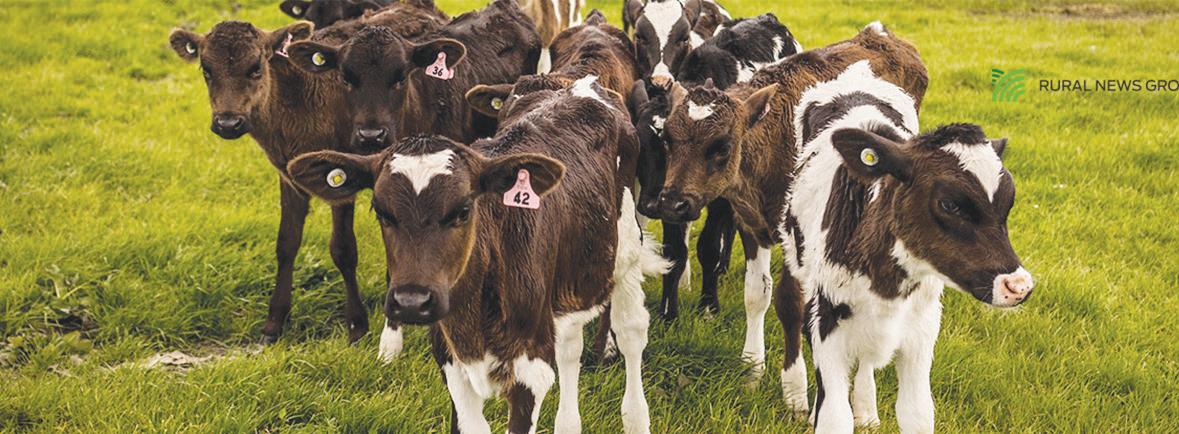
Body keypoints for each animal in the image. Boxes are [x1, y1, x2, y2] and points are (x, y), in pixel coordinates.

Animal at [167, 6, 447, 354]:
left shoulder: (340, 176)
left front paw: (357, 327)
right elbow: (286, 243)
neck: (297, 102)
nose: (228, 123)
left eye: (255, 67)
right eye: (206, 69)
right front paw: (274, 324)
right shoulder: (289, 177)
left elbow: (343, 250)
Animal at [285, 75, 666, 434]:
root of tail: (577, 82)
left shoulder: (530, 368)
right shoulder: (451, 362)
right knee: (570, 346)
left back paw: (636, 417)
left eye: (463, 209)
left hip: (626, 251)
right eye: (382, 212)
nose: (412, 302)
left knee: (631, 332)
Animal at [627, 12, 800, 324]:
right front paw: (668, 312)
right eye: (643, 146)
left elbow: (708, 246)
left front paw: (708, 306)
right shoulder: (674, 201)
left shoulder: (720, 197)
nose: (649, 204)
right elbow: (675, 252)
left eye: (667, 144)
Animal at [652, 23, 930, 416]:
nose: (673, 202)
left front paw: (796, 391)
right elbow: (757, 294)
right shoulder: (750, 223)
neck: (771, 146)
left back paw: (864, 403)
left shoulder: (796, 240)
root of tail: (879, 34)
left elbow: (790, 303)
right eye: (668, 138)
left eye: (722, 145)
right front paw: (752, 367)